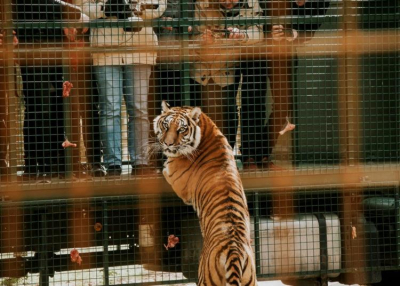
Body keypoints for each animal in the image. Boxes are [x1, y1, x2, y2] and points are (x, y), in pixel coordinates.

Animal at [153, 101, 256, 284]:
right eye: (166, 125)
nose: (168, 144)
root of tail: (234, 254)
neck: (206, 128)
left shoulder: (174, 178)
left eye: (181, 129)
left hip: (205, 278)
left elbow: (165, 168)